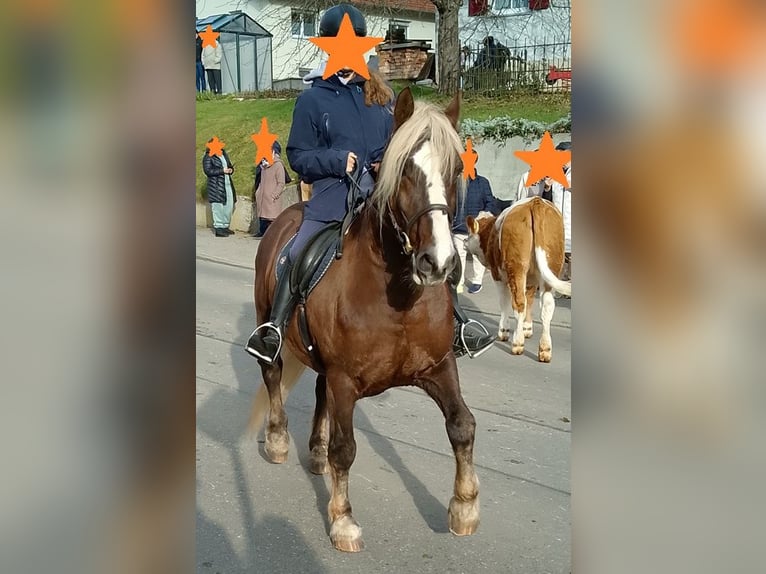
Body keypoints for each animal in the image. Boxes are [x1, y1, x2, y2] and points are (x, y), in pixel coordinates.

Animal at [247, 87, 480, 552]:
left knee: (318, 393)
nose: (439, 262)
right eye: (405, 169)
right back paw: (279, 439)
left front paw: (464, 508)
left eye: (455, 168)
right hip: (272, 328)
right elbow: (346, 448)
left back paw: (315, 453)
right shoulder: (345, 379)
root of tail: (287, 214)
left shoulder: (438, 367)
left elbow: (462, 425)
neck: (398, 298)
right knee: (273, 374)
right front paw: (343, 520)